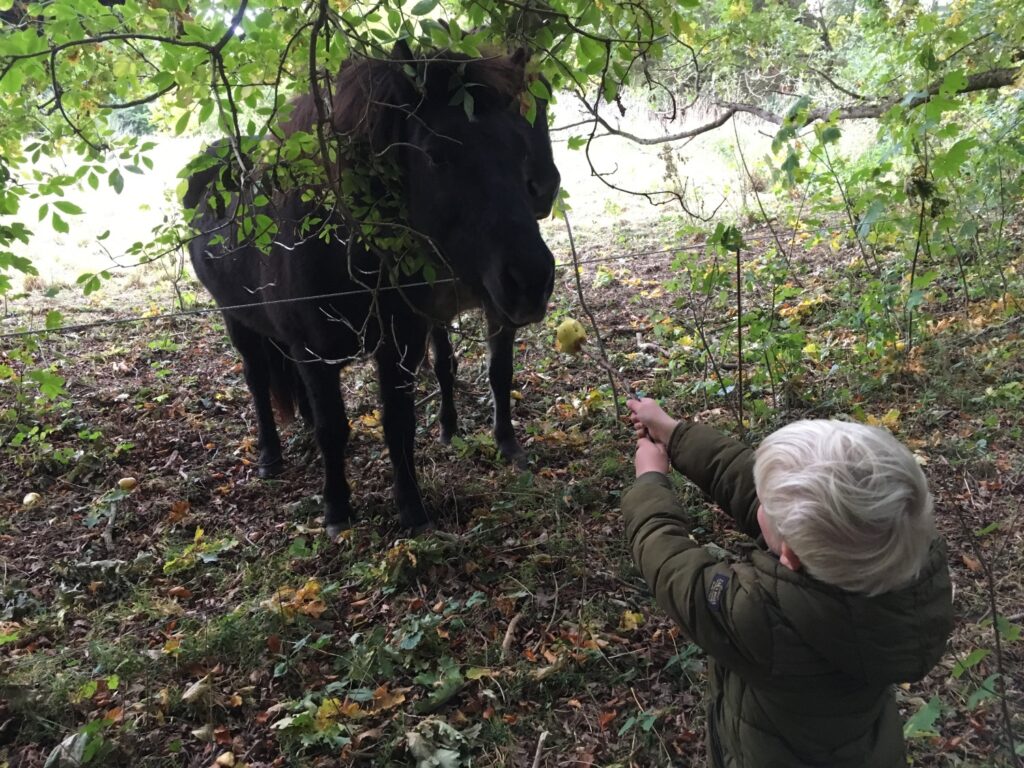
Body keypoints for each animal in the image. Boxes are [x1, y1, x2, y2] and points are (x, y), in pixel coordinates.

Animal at [180, 41, 557, 536]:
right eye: (436, 154)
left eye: (518, 149)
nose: (532, 280)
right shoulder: (312, 354)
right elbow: (333, 429)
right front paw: (337, 508)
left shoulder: (399, 345)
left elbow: (399, 424)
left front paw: (412, 510)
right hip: (237, 321)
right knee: (258, 382)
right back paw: (269, 455)